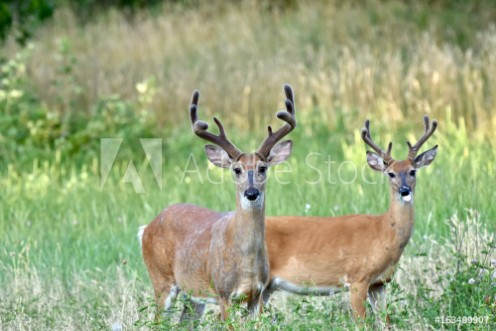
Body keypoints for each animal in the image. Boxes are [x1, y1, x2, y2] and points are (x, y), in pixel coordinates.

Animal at [138, 84, 296, 322]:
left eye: (262, 168)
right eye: (237, 170)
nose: (251, 193)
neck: (246, 260)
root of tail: (147, 227)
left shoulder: (257, 294)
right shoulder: (223, 293)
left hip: (193, 294)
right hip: (161, 279)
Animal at [264, 116, 438, 324]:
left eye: (413, 171)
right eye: (391, 173)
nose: (405, 190)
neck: (384, 232)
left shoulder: (379, 283)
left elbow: (386, 321)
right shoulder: (358, 278)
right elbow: (362, 323)